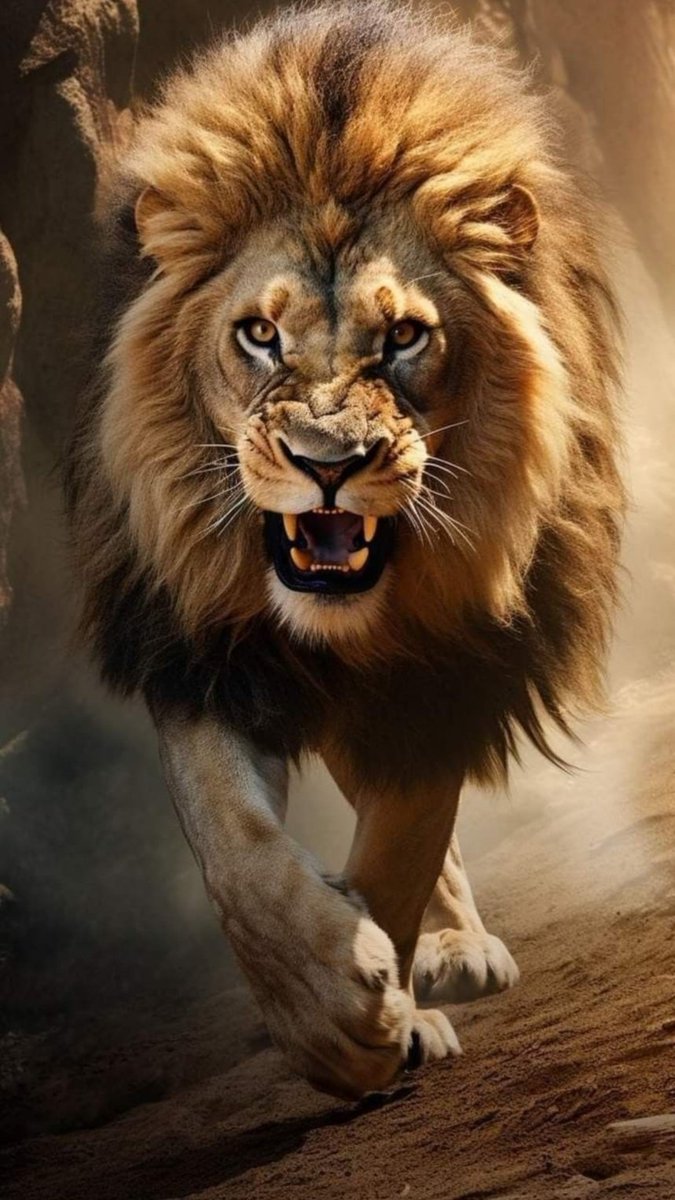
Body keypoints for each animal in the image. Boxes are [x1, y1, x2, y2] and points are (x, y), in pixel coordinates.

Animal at [66, 1, 624, 1099]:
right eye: (257, 336)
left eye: (404, 337)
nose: (328, 464)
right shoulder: (201, 643)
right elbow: (237, 853)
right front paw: (334, 1012)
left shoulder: (457, 655)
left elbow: (403, 840)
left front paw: (379, 1007)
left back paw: (450, 951)